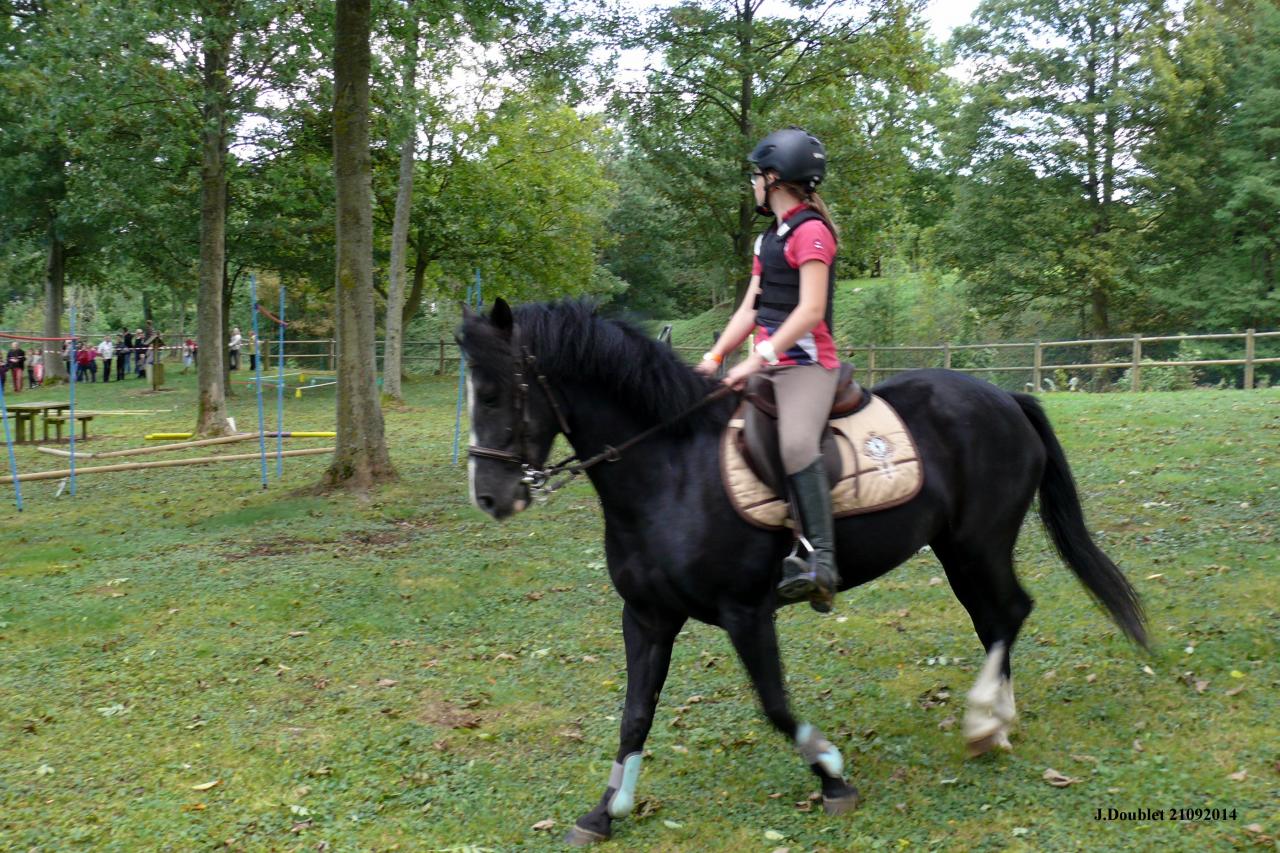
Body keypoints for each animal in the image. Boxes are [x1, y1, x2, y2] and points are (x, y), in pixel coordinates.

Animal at [459, 298, 1146, 846]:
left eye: (493, 393)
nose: (489, 497)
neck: (671, 470)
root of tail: (1006, 397)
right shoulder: (647, 617)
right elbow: (634, 714)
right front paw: (604, 812)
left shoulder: (745, 613)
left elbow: (775, 706)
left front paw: (833, 775)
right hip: (958, 549)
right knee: (995, 618)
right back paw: (998, 723)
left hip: (979, 543)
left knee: (1009, 612)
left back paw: (983, 721)